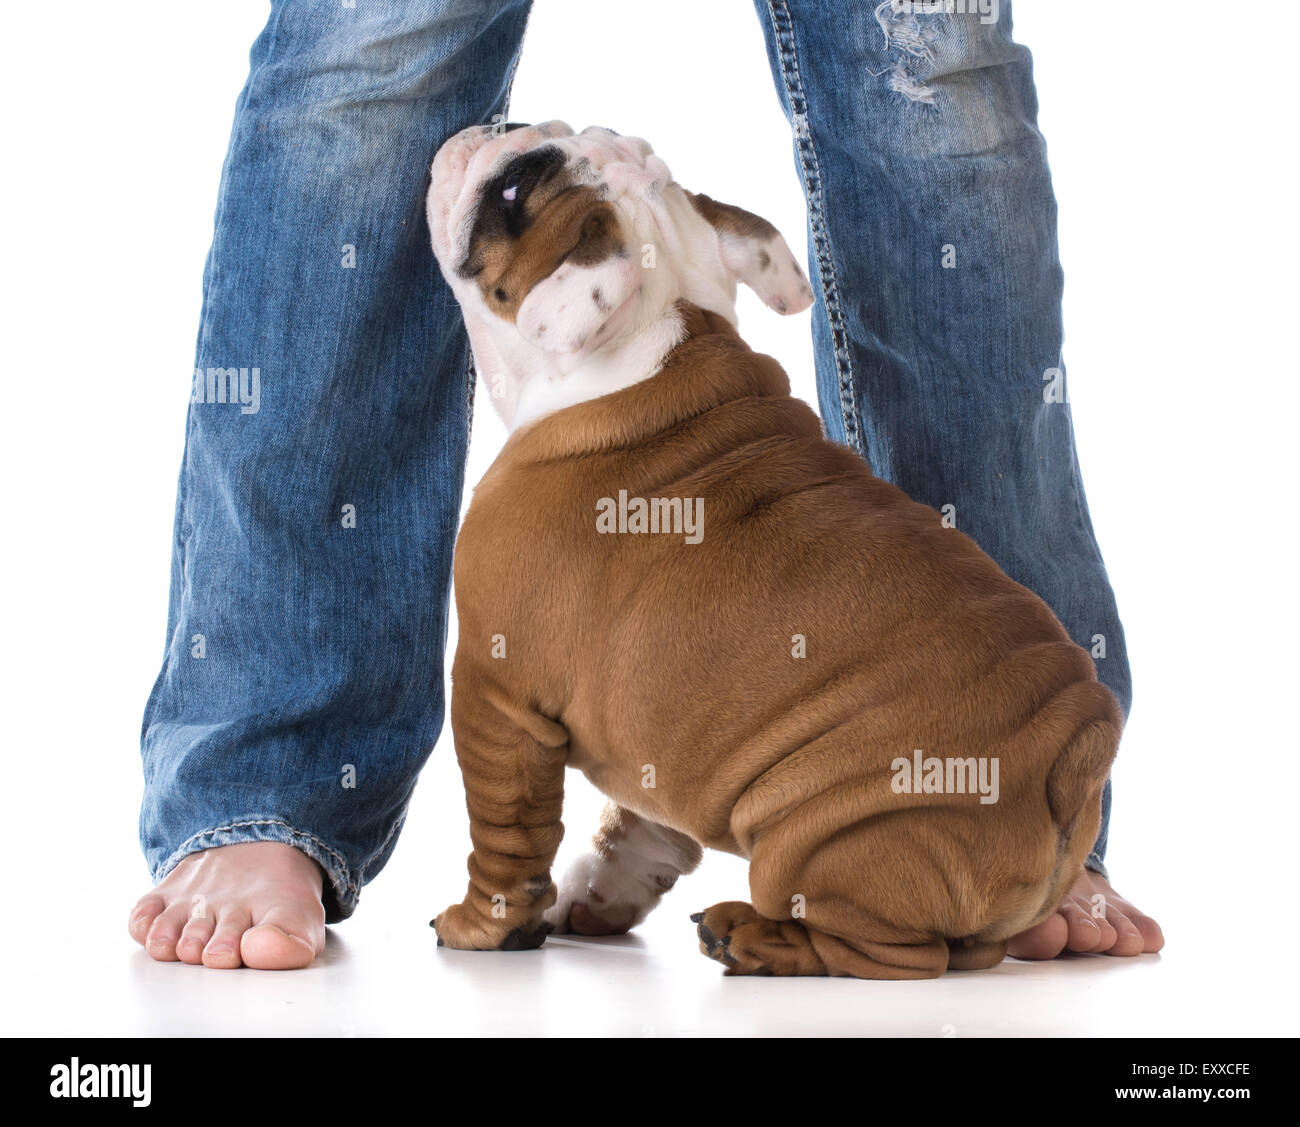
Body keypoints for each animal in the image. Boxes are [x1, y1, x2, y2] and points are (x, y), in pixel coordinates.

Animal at [426, 118, 1118, 972]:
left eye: (514, 189)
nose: (506, 125)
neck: (654, 341)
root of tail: (1068, 760)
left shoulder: (494, 692)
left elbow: (505, 831)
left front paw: (482, 926)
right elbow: (640, 826)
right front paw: (595, 897)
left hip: (825, 837)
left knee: (887, 952)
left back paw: (751, 934)